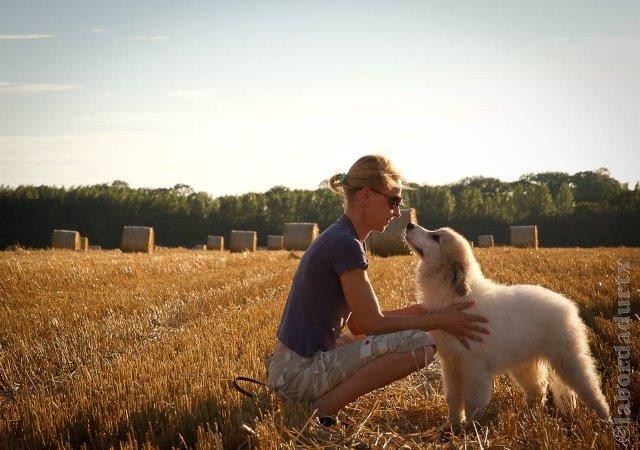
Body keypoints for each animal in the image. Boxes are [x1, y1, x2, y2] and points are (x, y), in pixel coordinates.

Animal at [404, 223, 608, 428]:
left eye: (436, 237)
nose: (409, 224)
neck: (455, 296)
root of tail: (567, 303)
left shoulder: (474, 366)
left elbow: (472, 402)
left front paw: (472, 428)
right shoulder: (451, 364)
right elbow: (453, 398)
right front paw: (454, 426)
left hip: (568, 360)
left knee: (591, 389)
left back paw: (604, 419)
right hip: (525, 364)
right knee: (538, 390)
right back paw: (532, 418)